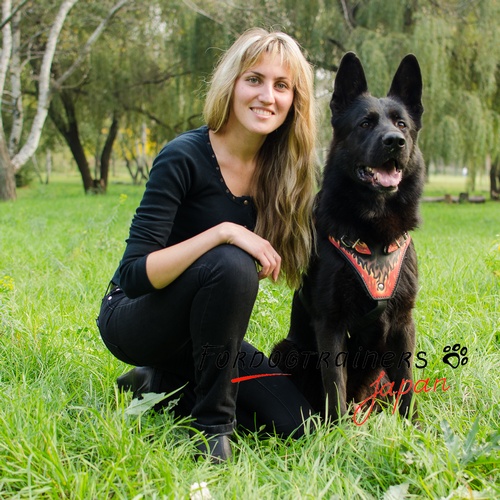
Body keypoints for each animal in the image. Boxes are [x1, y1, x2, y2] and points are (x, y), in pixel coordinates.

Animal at [272, 53, 424, 422]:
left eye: (401, 125)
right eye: (365, 124)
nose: (394, 142)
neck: (373, 233)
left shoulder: (403, 323)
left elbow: (407, 385)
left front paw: (414, 427)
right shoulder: (331, 324)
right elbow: (334, 386)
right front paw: (339, 431)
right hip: (287, 350)